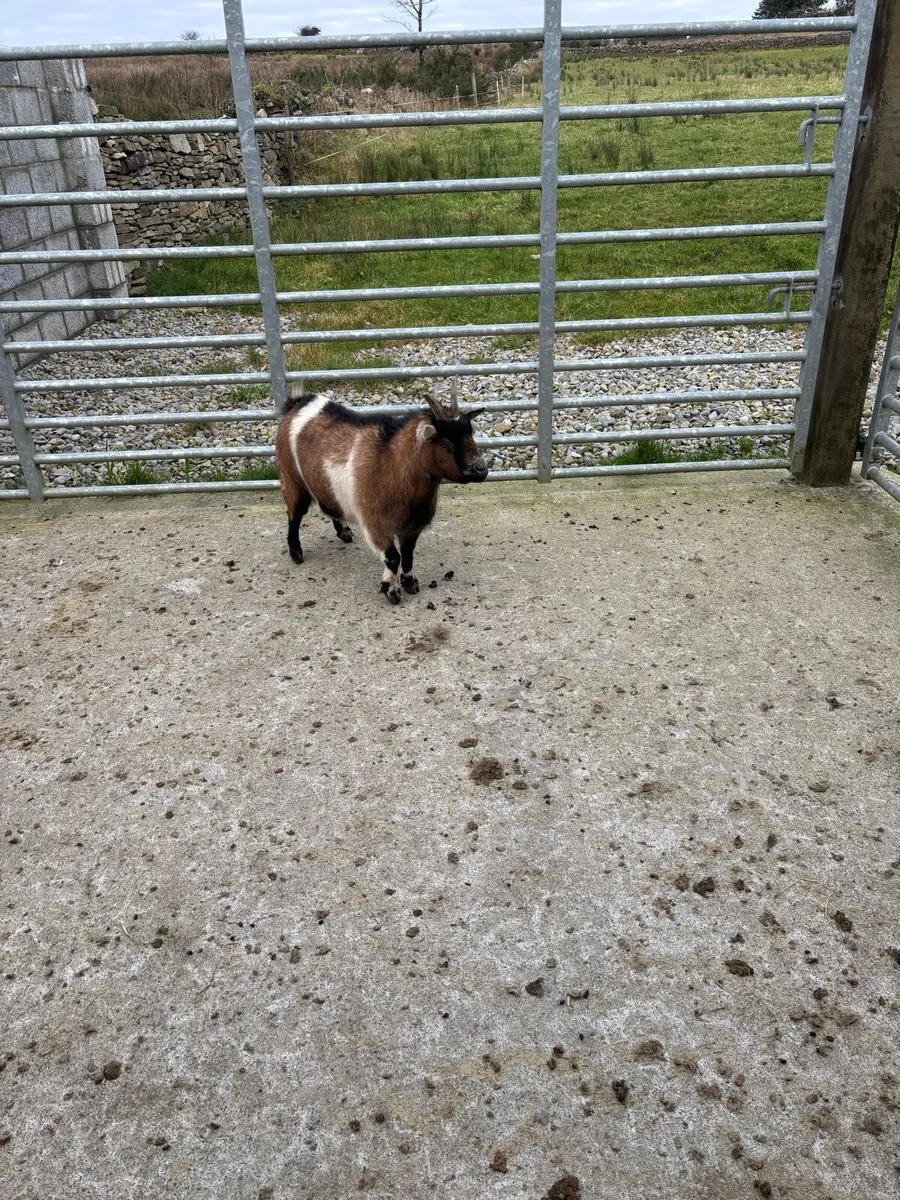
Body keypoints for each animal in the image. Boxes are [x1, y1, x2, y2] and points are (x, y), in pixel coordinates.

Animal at [274, 385, 487, 603]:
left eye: (470, 435)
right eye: (445, 444)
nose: (481, 470)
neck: (390, 464)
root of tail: (297, 403)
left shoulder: (413, 525)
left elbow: (408, 554)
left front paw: (410, 583)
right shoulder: (375, 524)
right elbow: (393, 558)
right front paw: (391, 590)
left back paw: (343, 532)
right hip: (291, 478)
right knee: (294, 514)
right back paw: (296, 552)